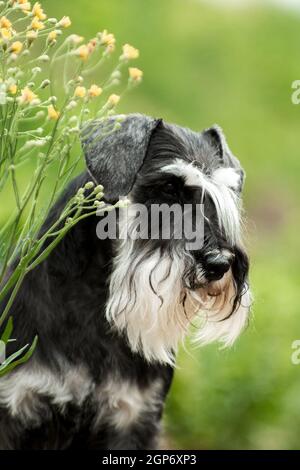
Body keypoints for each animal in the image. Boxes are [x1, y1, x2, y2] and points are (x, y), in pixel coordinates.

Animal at [0, 113, 251, 448]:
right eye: (168, 188)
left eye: (226, 193)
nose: (219, 264)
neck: (96, 305)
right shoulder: (15, 401)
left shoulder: (135, 416)